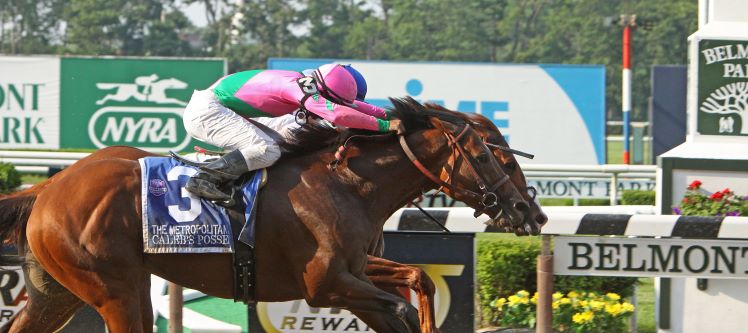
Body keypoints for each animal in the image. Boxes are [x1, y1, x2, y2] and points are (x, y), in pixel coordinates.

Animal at [0, 98, 532, 332]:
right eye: (490, 158)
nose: (530, 212)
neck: (348, 185)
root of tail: (51, 186)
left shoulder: (355, 272)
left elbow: (417, 279)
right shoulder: (324, 283)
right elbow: (398, 306)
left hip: (60, 292)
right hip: (117, 290)